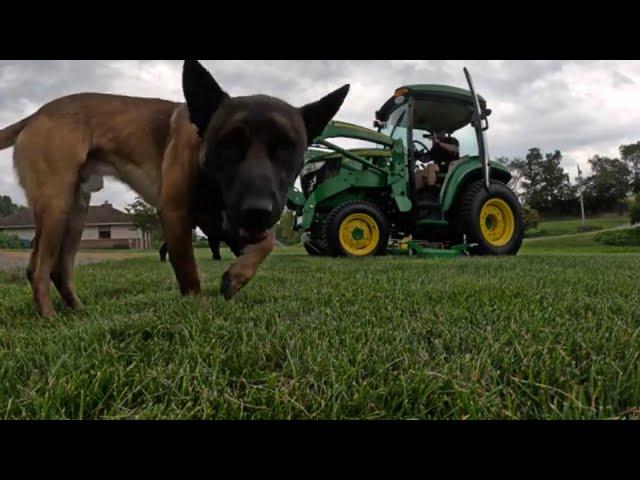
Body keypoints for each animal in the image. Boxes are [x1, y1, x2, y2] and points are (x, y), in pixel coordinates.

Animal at [0, 60, 350, 318]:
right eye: (228, 144)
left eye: (286, 148)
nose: (257, 210)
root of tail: (35, 115)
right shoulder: (177, 215)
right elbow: (189, 273)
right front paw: (198, 310)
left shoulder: (231, 224)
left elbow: (266, 243)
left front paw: (236, 277)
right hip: (57, 206)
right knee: (39, 269)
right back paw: (50, 318)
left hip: (77, 212)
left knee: (58, 270)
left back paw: (79, 311)